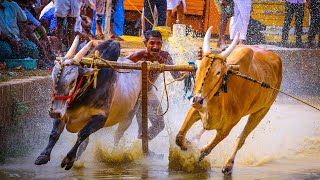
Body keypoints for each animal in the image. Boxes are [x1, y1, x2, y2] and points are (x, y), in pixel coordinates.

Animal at [175, 26, 282, 174]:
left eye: (218, 72)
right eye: (198, 67)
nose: (197, 100)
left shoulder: (228, 127)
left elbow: (205, 150)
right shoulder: (195, 110)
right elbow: (179, 138)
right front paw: (187, 145)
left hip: (262, 111)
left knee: (241, 138)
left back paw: (228, 165)